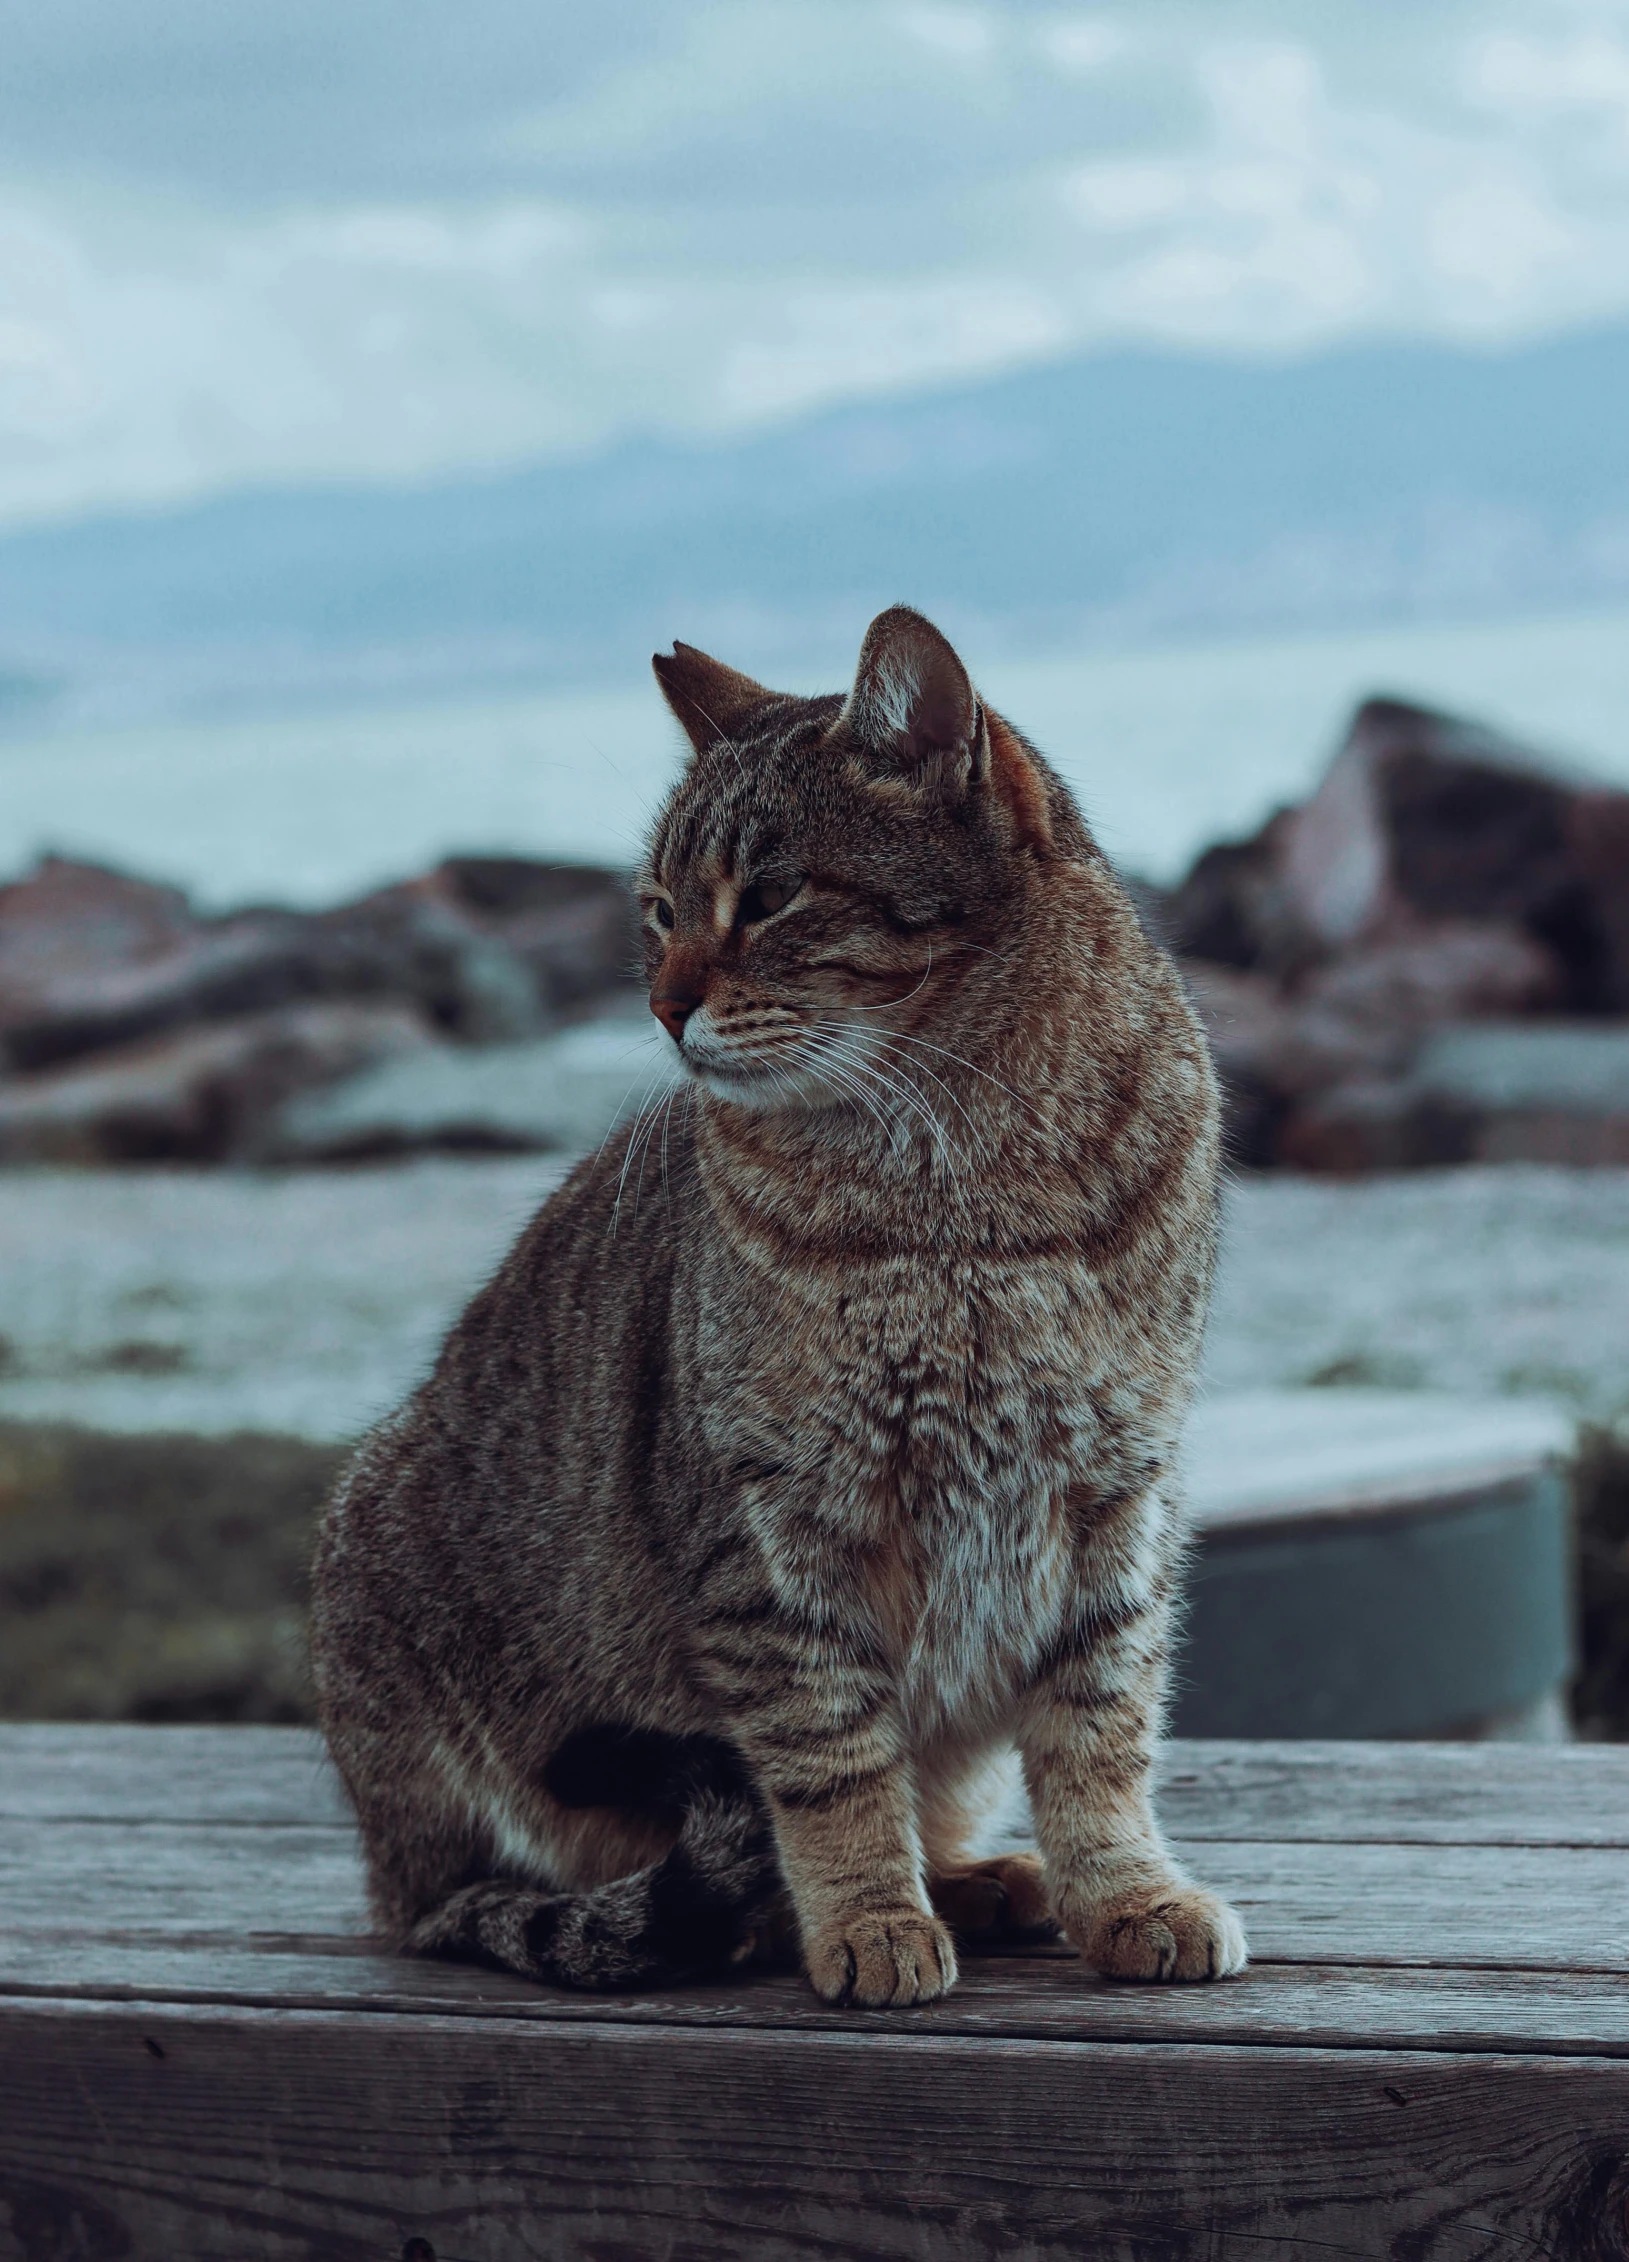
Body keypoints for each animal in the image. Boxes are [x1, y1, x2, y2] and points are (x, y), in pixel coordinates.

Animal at [307, 601, 1248, 1999]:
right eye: (657, 911)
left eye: (769, 897)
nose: (662, 1004)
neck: (961, 1186)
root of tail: (386, 1877)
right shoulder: (773, 1530)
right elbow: (829, 1761)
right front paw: (866, 1920)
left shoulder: (1116, 1491)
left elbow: (1100, 1730)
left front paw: (1126, 1892)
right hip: (383, 1583)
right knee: (509, 1886)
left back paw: (974, 1879)